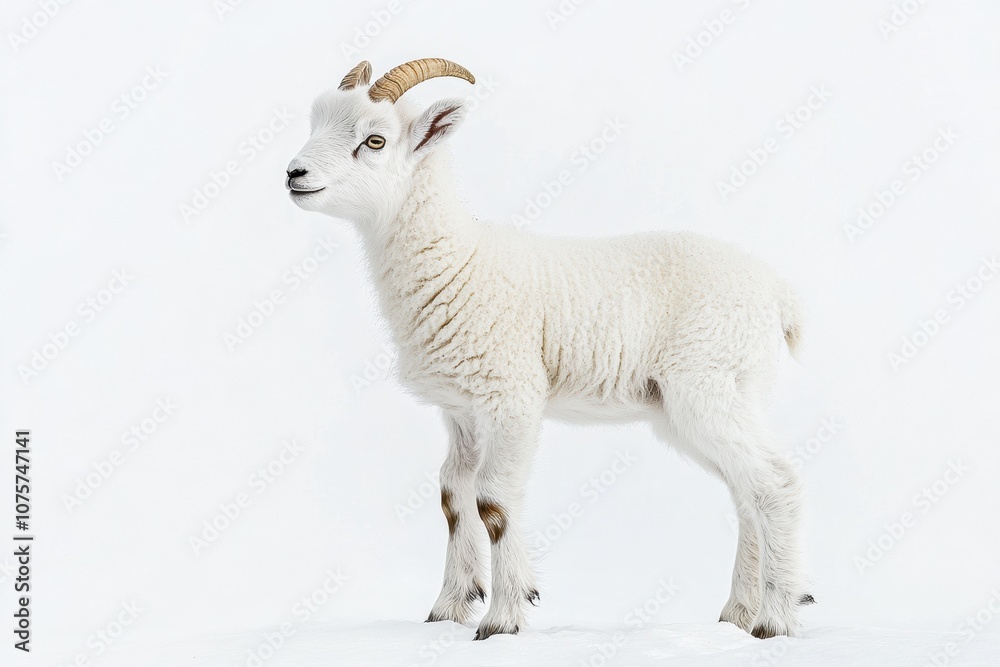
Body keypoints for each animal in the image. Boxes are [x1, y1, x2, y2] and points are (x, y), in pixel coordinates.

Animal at [286, 58, 812, 641]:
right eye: (315, 120)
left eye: (374, 140)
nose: (294, 174)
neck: (458, 262)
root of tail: (779, 294)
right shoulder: (461, 411)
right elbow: (453, 496)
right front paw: (448, 608)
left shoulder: (512, 397)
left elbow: (493, 500)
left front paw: (502, 618)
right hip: (717, 399)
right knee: (747, 491)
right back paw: (738, 615)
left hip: (707, 384)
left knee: (775, 482)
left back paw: (778, 617)